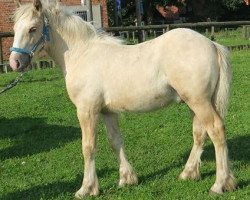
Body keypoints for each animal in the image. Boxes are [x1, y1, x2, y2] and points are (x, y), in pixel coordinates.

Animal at [9, 0, 236, 197]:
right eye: (15, 28)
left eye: (33, 28)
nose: (15, 62)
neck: (82, 53)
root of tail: (211, 44)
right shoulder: (107, 112)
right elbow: (115, 141)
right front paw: (127, 179)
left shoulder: (86, 110)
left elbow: (88, 147)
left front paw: (87, 189)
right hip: (195, 102)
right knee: (199, 133)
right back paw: (189, 173)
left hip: (199, 102)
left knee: (216, 130)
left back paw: (219, 184)